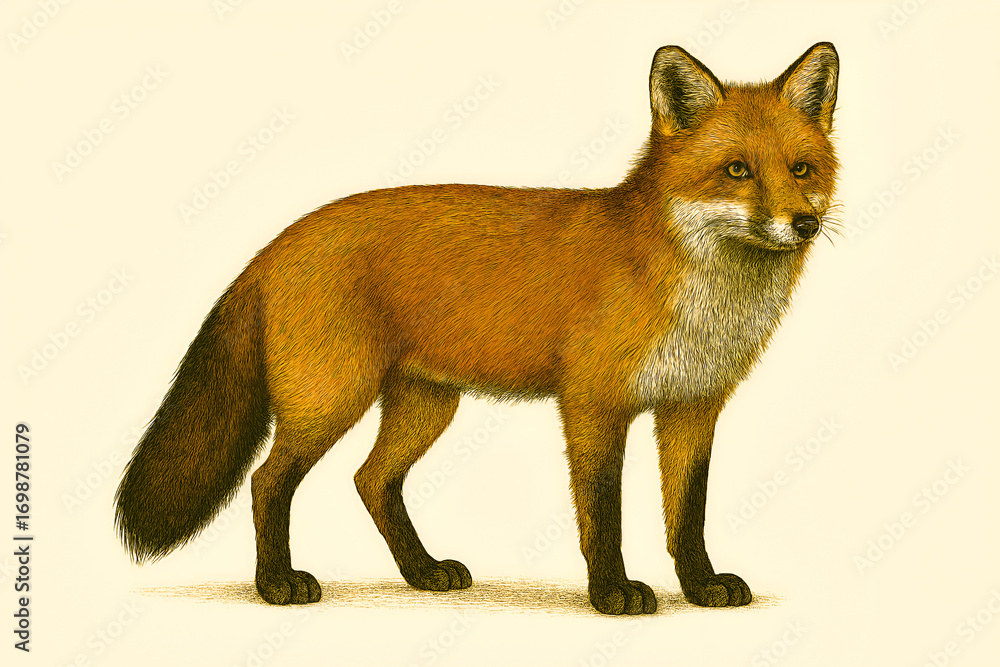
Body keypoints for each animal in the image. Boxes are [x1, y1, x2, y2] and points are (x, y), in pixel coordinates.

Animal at [115, 42, 839, 615]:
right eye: (738, 170)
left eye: (801, 169)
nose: (803, 223)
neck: (702, 298)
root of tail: (275, 244)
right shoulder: (593, 405)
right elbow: (603, 514)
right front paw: (612, 593)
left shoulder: (692, 406)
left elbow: (687, 516)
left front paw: (700, 585)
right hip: (332, 399)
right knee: (268, 481)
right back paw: (276, 584)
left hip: (426, 406)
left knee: (371, 480)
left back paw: (422, 571)